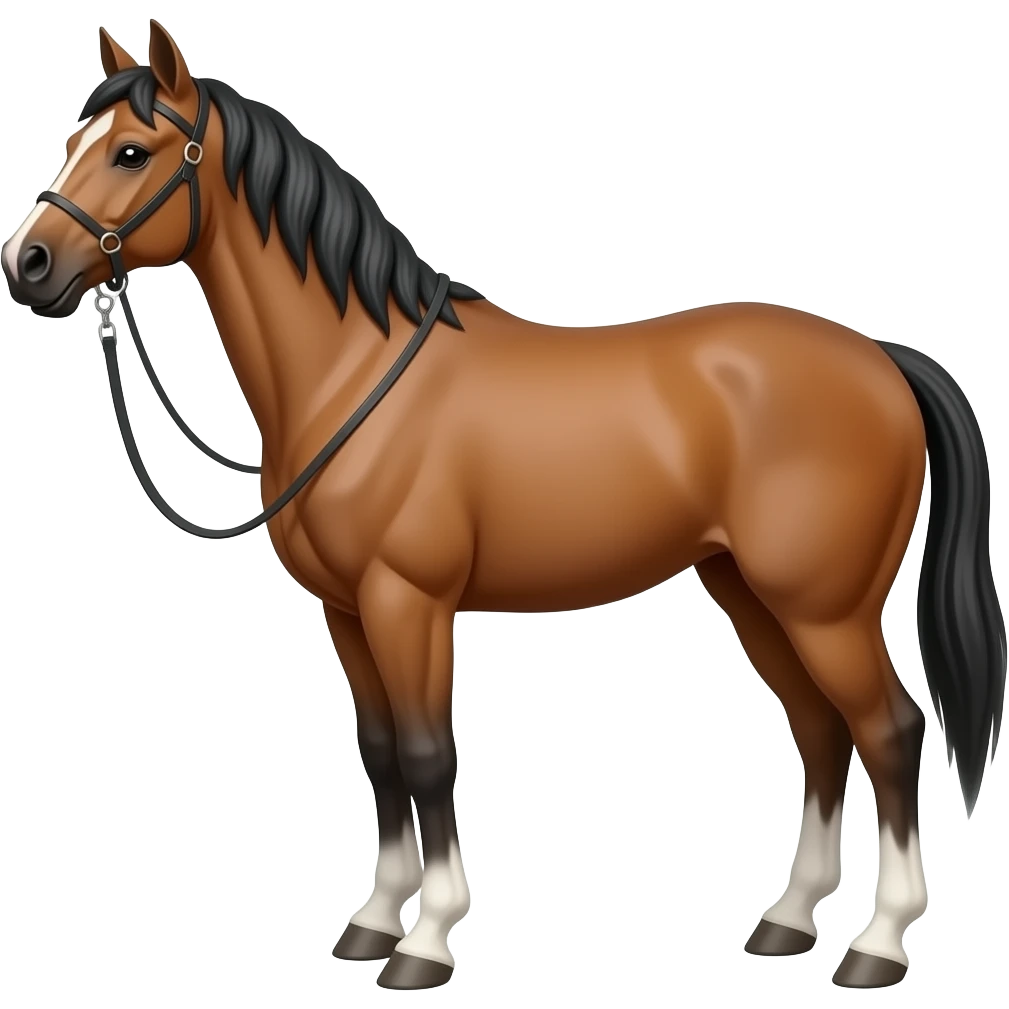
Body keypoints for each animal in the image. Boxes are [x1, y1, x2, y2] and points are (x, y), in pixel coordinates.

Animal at [2, 19, 1005, 993]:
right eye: (75, 141)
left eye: (132, 151)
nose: (29, 263)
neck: (356, 373)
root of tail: (880, 359)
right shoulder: (346, 611)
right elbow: (377, 750)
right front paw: (373, 921)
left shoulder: (409, 602)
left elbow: (423, 752)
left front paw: (426, 942)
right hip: (752, 596)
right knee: (820, 730)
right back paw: (788, 921)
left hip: (824, 608)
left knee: (888, 730)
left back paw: (877, 944)